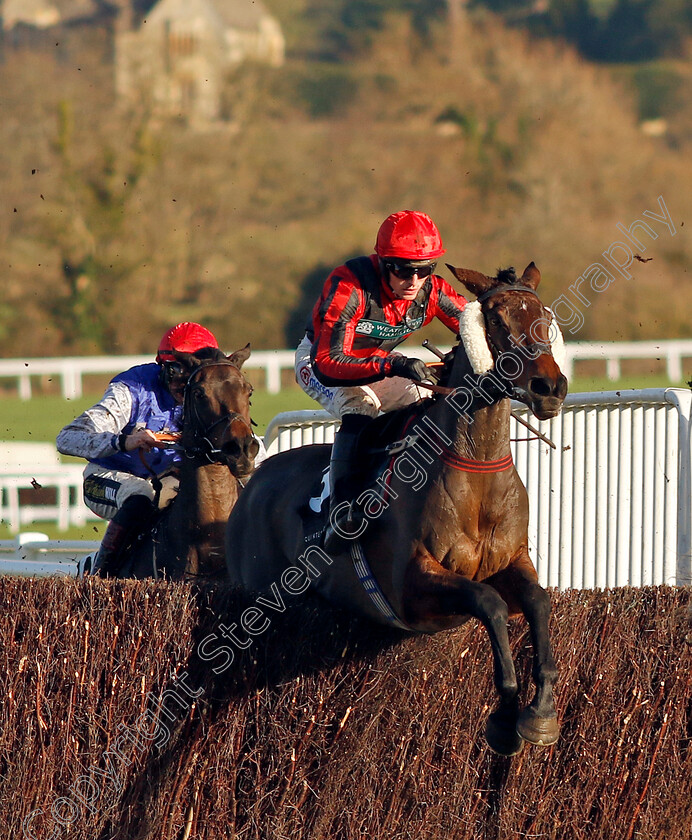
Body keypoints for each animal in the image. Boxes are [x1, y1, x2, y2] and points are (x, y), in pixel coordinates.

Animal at [227, 266, 568, 756]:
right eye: (499, 322)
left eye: (546, 318)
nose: (550, 388)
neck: (477, 471)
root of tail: (252, 482)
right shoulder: (411, 589)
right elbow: (488, 602)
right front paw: (505, 717)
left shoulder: (514, 561)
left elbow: (537, 601)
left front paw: (541, 713)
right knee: (356, 405)